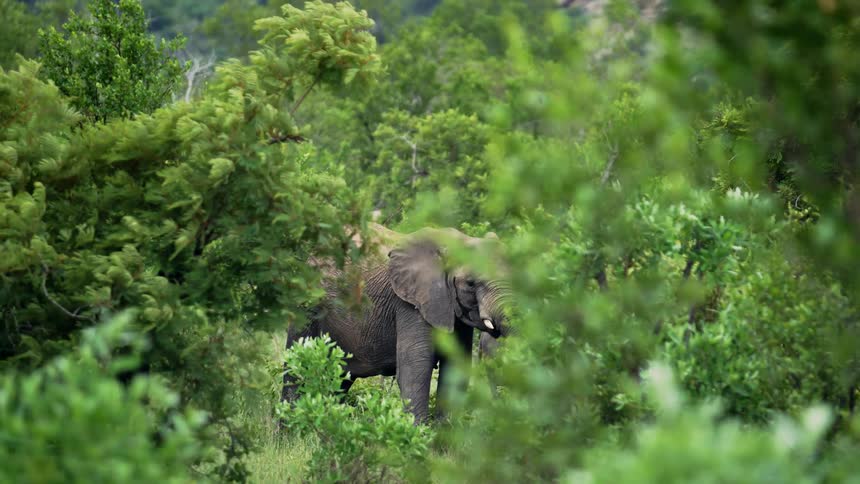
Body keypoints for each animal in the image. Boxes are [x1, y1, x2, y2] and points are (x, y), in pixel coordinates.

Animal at [281, 223, 509, 423]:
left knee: (340, 378)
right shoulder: (410, 302)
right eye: (471, 283)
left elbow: (455, 368)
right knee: (297, 365)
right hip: (309, 303)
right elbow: (415, 367)